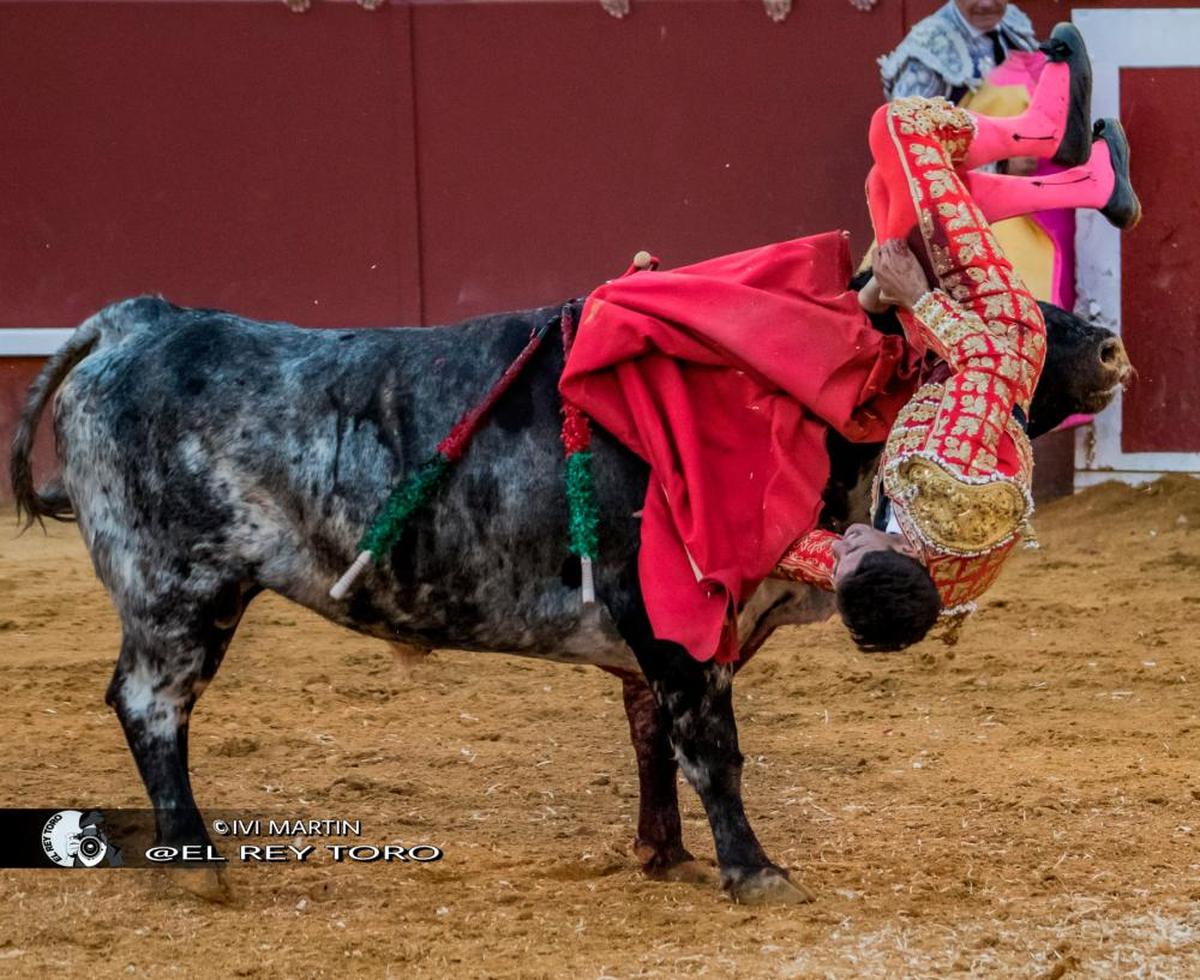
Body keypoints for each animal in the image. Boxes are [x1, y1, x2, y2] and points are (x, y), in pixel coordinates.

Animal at [9, 289, 1128, 902]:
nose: (1109, 343)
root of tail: (143, 321)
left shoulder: (658, 644)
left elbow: (653, 737)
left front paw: (664, 855)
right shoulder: (681, 626)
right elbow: (710, 746)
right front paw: (754, 871)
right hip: (179, 592)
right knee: (152, 704)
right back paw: (196, 860)